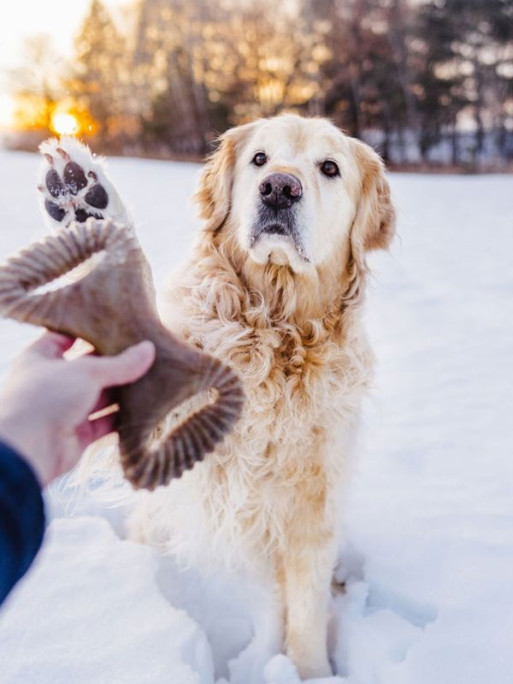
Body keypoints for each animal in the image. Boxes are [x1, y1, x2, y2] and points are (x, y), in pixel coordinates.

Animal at [39, 113, 396, 680]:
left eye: (330, 168)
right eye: (259, 159)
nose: (279, 188)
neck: (273, 328)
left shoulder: (313, 510)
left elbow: (306, 615)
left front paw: (311, 671)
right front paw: (85, 205)